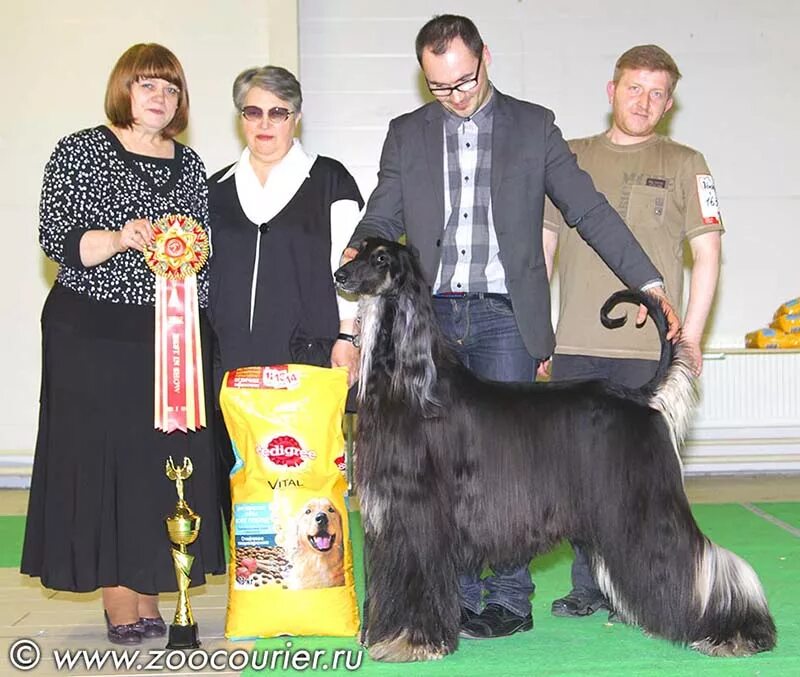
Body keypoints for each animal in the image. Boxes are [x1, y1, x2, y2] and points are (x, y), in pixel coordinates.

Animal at [334, 236, 780, 660]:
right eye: (358, 251)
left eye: (380, 259)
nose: (340, 274)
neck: (410, 384)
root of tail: (640, 398)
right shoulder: (390, 516)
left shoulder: (418, 513)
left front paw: (411, 640)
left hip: (646, 504)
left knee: (699, 559)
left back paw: (737, 633)